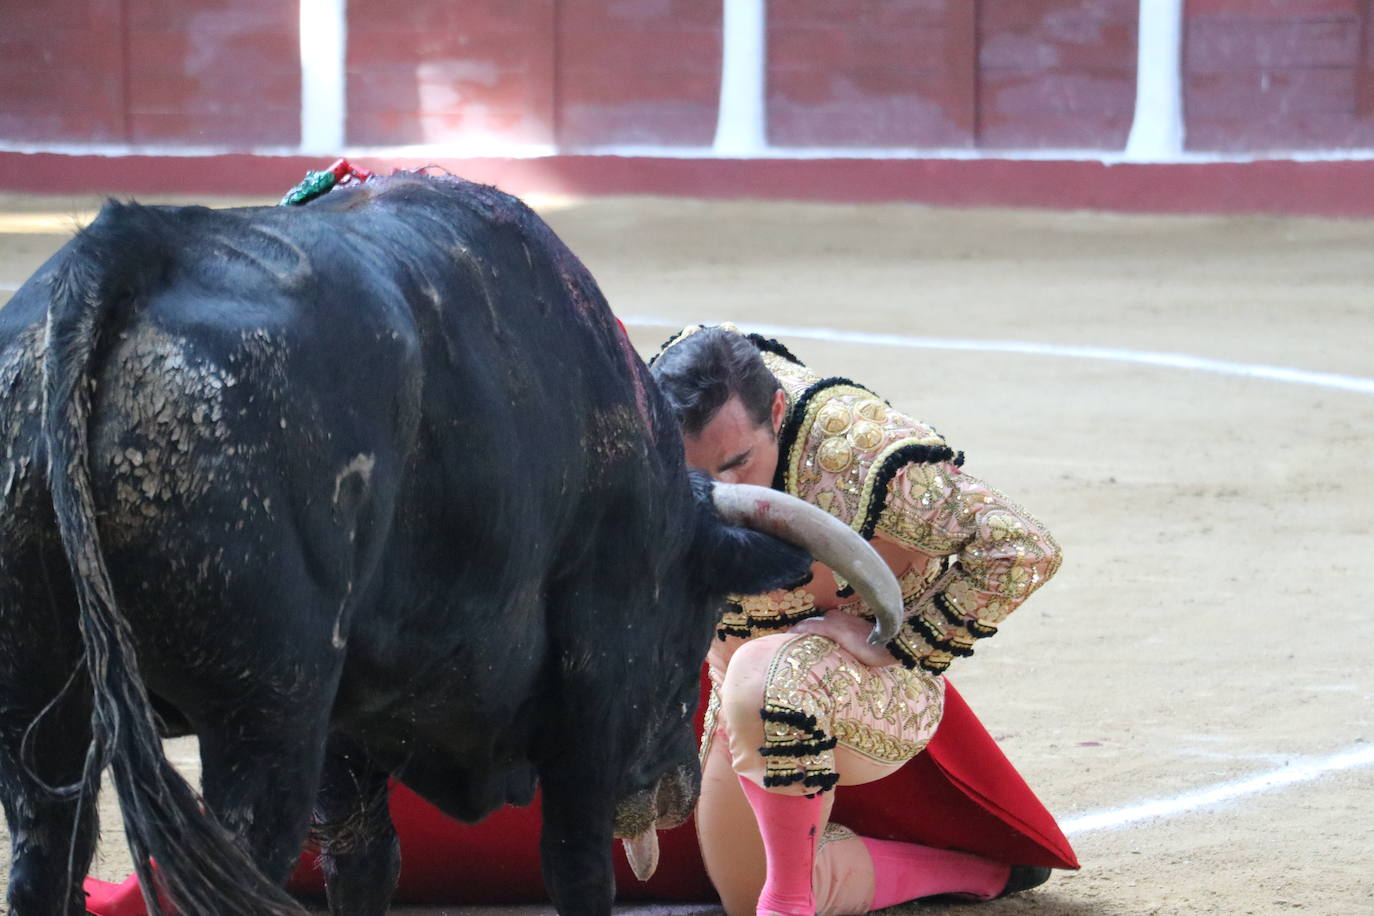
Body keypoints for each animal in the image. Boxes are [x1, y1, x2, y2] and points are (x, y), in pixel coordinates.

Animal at [0, 173, 901, 916]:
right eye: (693, 622)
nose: (681, 791)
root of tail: (126, 253)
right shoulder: (596, 679)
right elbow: (576, 862)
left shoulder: (352, 714)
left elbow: (365, 860)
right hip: (264, 715)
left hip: (48, 704)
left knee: (47, 854)